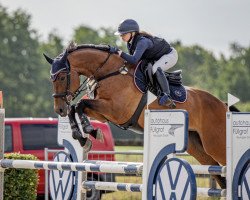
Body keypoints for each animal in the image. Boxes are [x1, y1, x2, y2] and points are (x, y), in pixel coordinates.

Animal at [44, 43, 233, 188]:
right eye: (51, 78)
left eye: (61, 77)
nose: (58, 109)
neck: (110, 72)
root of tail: (222, 104)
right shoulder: (104, 114)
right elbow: (76, 108)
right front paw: (82, 137)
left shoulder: (115, 110)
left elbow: (80, 105)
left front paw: (90, 131)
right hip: (195, 144)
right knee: (214, 168)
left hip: (215, 142)